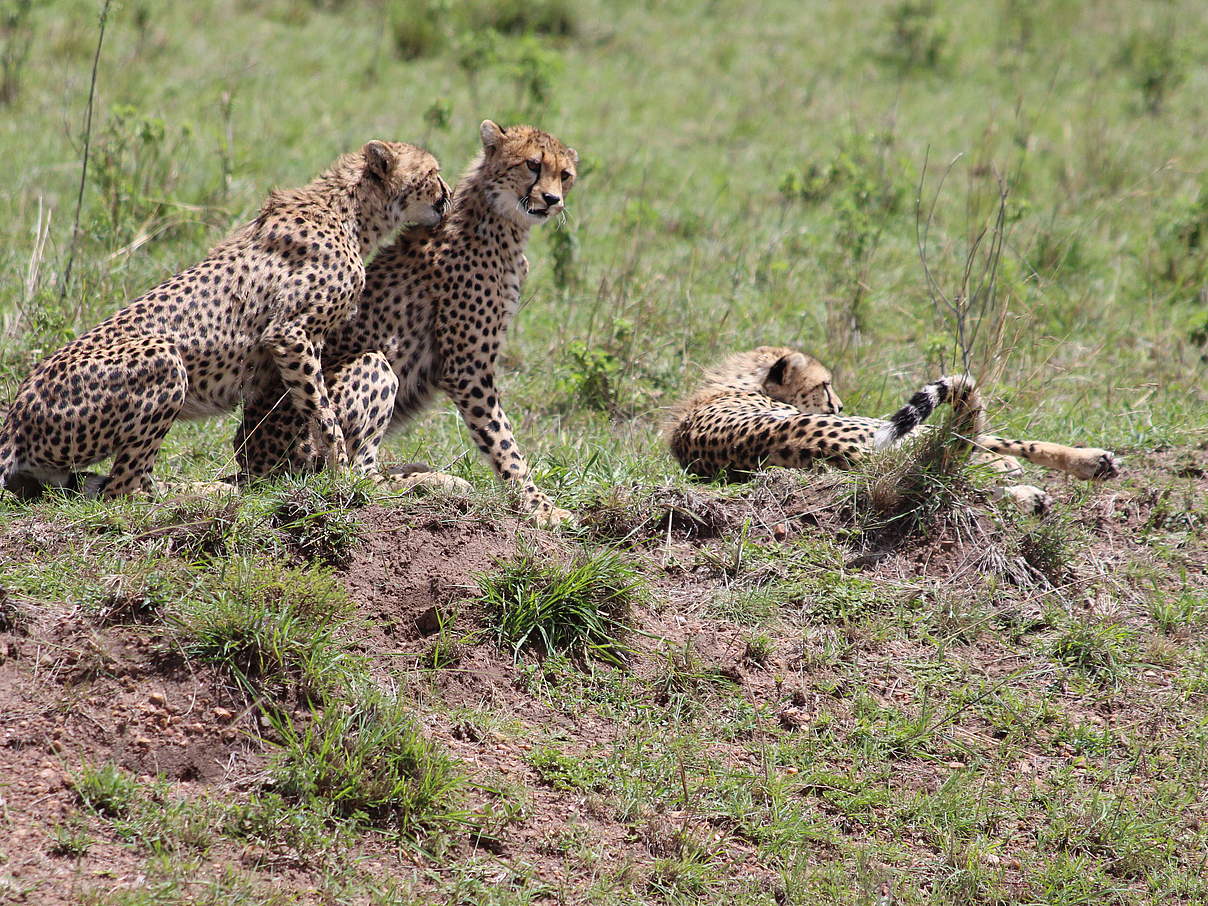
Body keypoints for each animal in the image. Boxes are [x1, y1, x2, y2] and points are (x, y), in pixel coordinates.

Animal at [0, 140, 449, 504]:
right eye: (432, 173)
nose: (446, 197)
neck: (351, 211)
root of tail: (17, 413)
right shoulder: (289, 333)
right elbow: (322, 412)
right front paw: (343, 472)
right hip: (164, 360)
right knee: (123, 488)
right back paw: (201, 492)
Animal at [236, 122, 579, 531]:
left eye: (565, 175)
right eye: (532, 164)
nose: (552, 199)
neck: (501, 220)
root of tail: (248, 459)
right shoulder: (467, 368)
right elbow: (502, 438)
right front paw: (538, 507)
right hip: (368, 369)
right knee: (354, 476)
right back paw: (428, 481)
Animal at [666, 345, 1116, 512]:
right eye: (825, 385)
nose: (840, 404)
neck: (737, 383)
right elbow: (988, 442)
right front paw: (1010, 469)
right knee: (961, 474)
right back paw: (1035, 490)